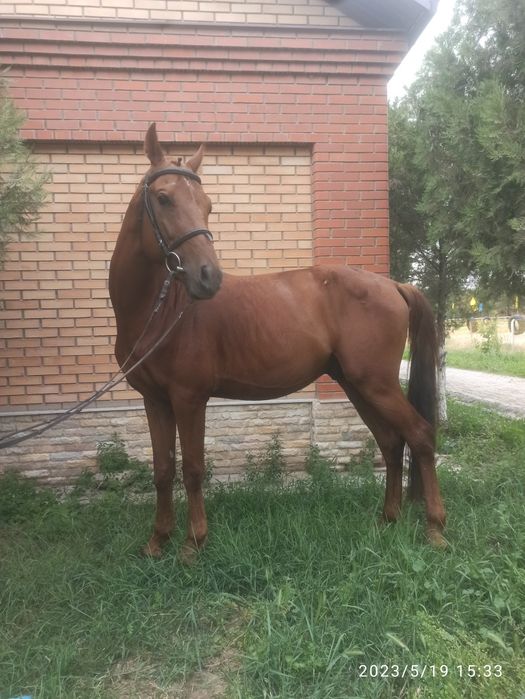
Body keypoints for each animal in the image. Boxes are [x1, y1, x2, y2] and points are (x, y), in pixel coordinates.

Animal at [109, 123, 446, 560]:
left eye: (207, 205)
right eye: (163, 198)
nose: (208, 277)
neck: (161, 311)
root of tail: (392, 285)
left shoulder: (188, 398)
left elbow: (193, 469)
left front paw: (193, 544)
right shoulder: (155, 400)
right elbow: (163, 469)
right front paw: (157, 541)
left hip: (377, 384)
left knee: (419, 435)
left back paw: (435, 527)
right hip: (357, 385)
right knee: (390, 442)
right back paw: (387, 519)